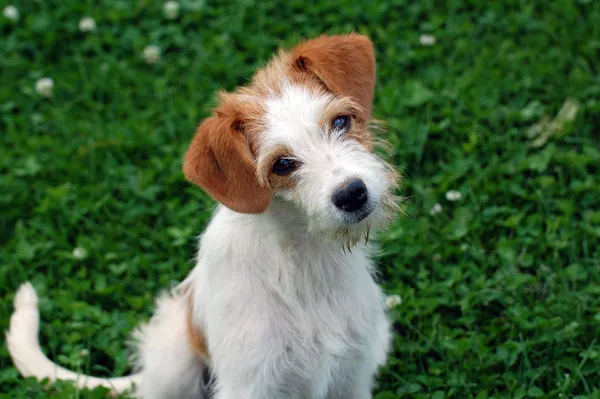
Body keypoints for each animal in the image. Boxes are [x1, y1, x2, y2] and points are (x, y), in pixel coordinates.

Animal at [7, 32, 400, 398]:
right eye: (282, 164)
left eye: (340, 122)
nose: (352, 193)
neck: (305, 258)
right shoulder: (250, 381)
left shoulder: (353, 372)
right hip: (175, 359)